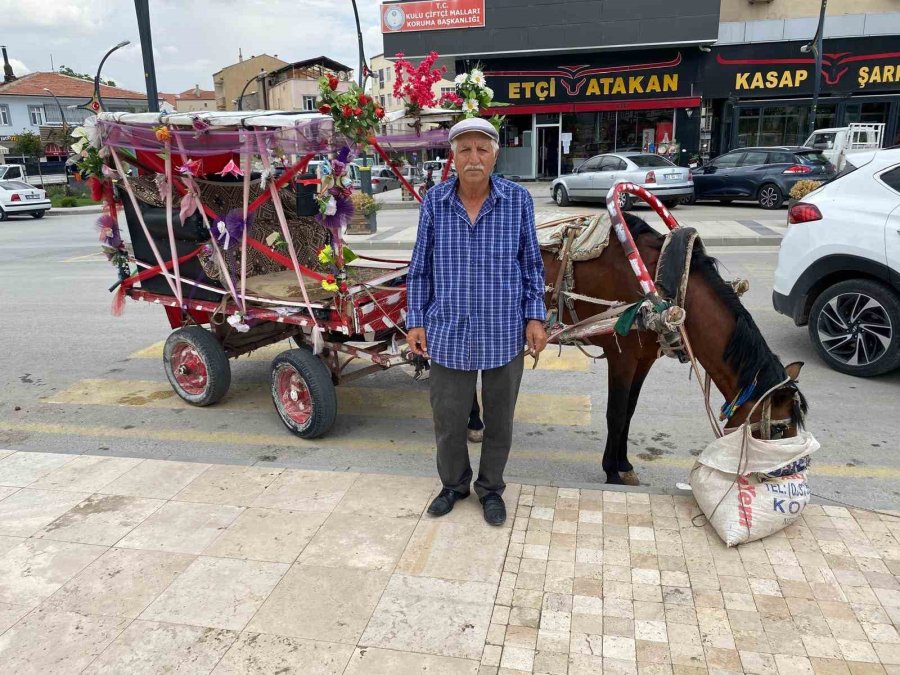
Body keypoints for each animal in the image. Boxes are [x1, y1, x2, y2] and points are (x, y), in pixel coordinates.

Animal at [468, 214, 804, 484]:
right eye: (778, 430)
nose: (791, 474)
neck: (662, 288)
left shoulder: (643, 359)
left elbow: (629, 411)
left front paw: (624, 464)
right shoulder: (622, 357)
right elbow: (615, 413)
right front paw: (611, 472)